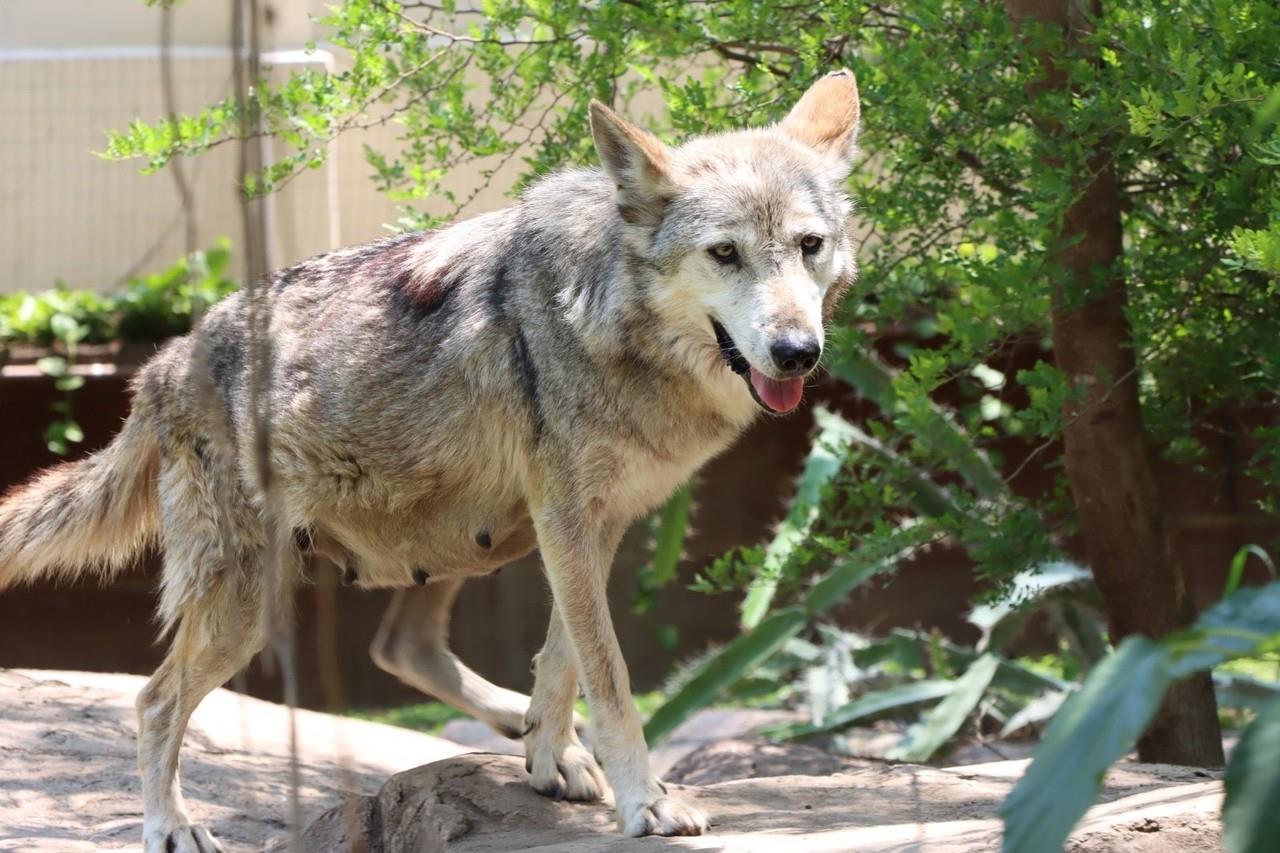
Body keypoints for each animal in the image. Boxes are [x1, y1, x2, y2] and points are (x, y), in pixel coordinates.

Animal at [0, 68, 865, 850]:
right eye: (724, 253)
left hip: (467, 532)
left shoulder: (595, 520)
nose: (797, 351)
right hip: (253, 606)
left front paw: (553, 754)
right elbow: (611, 674)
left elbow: (564, 656)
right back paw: (172, 825)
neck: (607, 314)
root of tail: (161, 365)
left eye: (808, 247)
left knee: (399, 645)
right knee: (154, 701)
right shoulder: (567, 518)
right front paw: (646, 803)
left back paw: (525, 730)